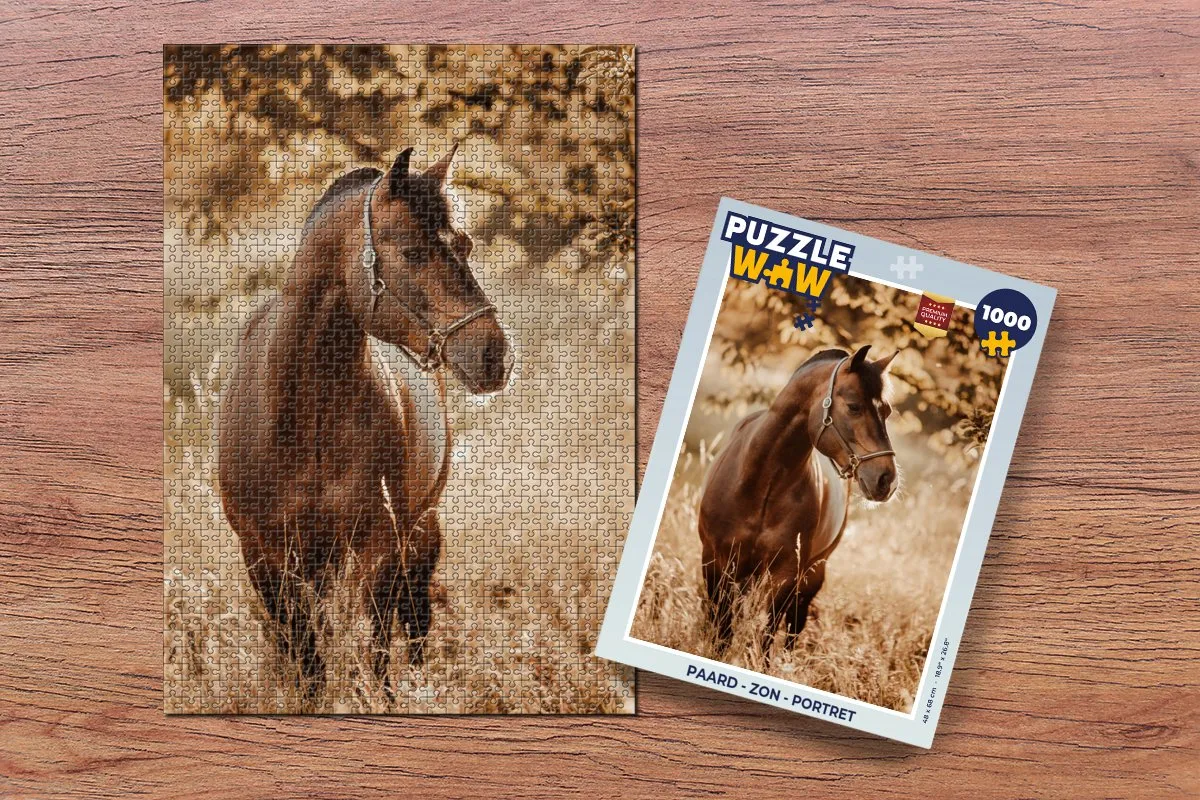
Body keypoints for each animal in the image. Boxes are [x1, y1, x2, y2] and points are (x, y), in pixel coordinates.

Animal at [217, 145, 513, 697]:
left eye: (464, 245)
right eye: (413, 253)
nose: (494, 355)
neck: (303, 417)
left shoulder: (377, 548)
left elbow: (370, 649)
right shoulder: (264, 556)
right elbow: (304, 654)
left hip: (415, 532)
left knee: (413, 617)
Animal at [697, 345, 900, 654]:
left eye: (886, 411)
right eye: (854, 406)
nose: (886, 479)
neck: (761, 484)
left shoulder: (786, 575)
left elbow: (766, 636)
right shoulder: (715, 561)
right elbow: (722, 629)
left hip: (812, 574)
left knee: (794, 625)